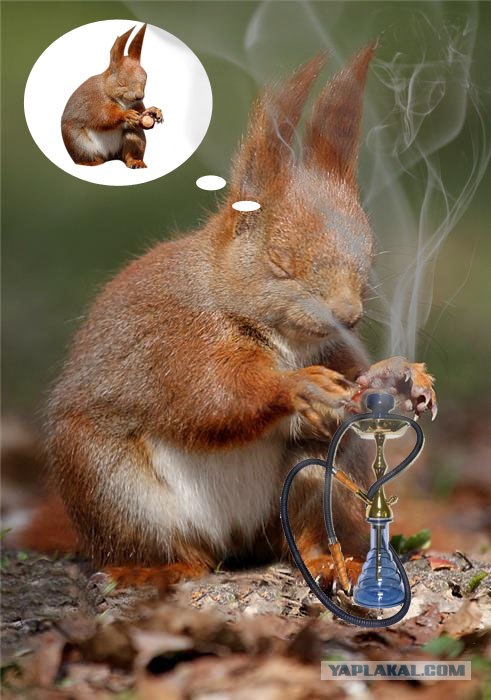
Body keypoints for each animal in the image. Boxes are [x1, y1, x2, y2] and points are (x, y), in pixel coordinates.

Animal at [21, 45, 436, 591]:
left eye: (367, 260)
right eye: (280, 263)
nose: (348, 314)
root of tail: (234, 540)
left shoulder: (334, 348)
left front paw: (404, 374)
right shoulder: (177, 338)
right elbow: (214, 396)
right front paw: (298, 386)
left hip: (309, 482)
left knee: (301, 530)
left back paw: (328, 562)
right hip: (111, 486)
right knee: (168, 548)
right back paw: (155, 569)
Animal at [61, 24, 163, 169]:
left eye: (146, 78)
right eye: (121, 82)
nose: (139, 96)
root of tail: (110, 156)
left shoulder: (137, 104)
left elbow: (142, 112)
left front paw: (153, 111)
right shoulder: (95, 101)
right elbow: (103, 117)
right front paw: (125, 115)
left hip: (134, 138)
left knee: (129, 151)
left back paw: (135, 161)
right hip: (78, 142)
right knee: (87, 155)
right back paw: (90, 162)